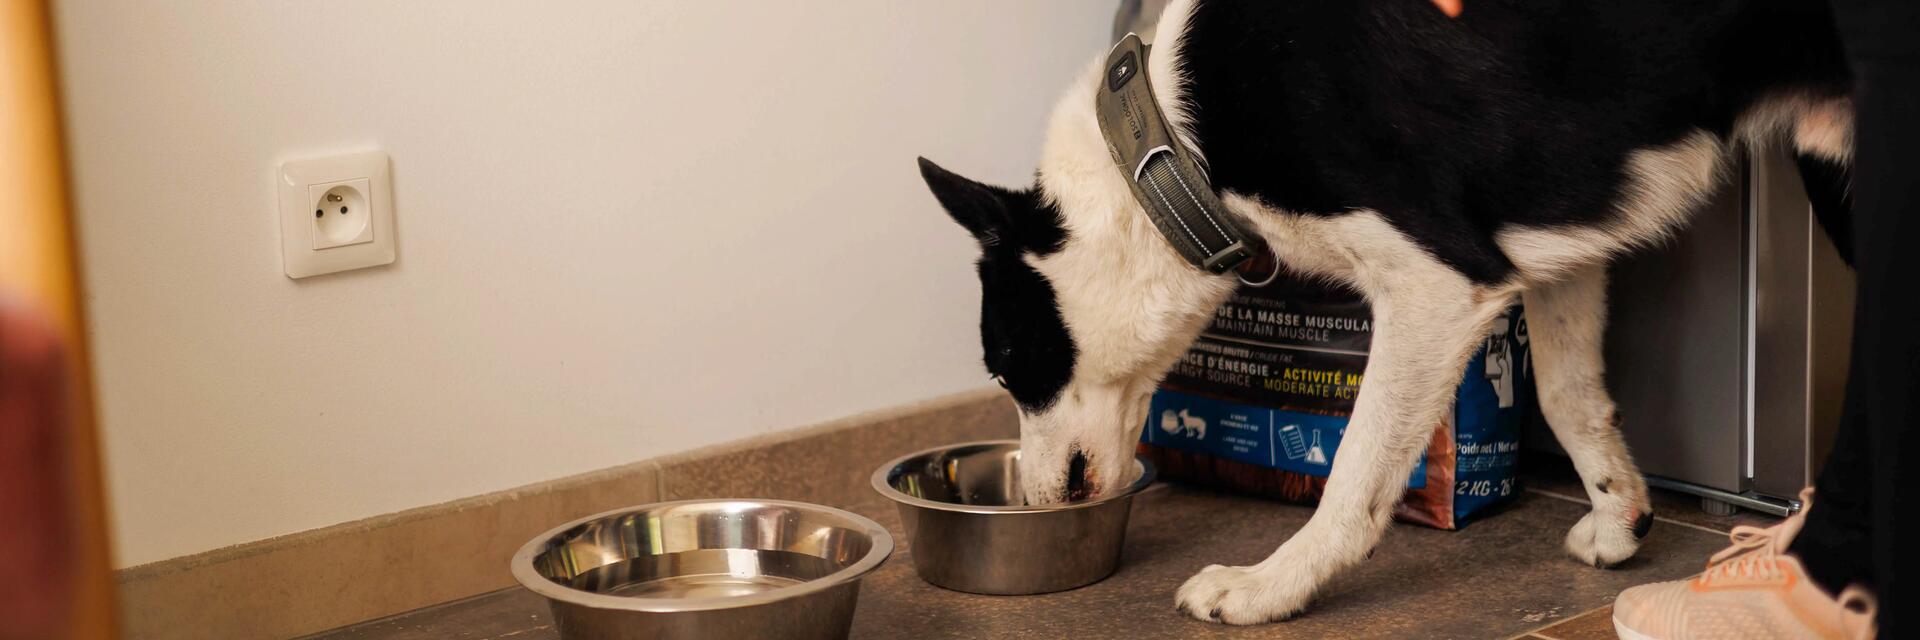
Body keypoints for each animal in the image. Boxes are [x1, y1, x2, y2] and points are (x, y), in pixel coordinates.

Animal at [921, 0, 1850, 622]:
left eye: (1006, 365)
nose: (1038, 504)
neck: (1169, 149)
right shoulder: (1558, 246)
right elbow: (1568, 396)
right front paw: (1620, 517)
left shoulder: (1439, 285)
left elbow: (1356, 471)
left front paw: (1267, 587)